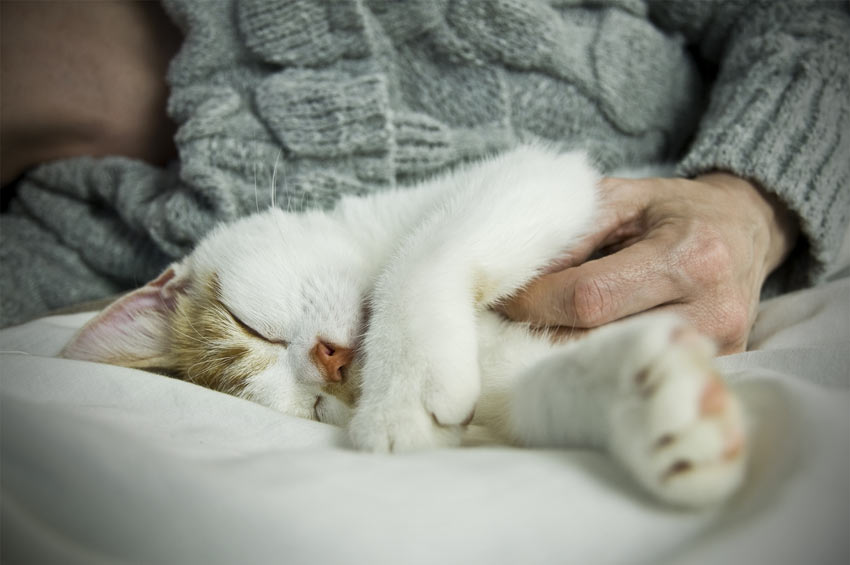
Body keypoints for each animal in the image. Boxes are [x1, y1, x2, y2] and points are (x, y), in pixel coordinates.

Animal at [63, 144, 744, 506]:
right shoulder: (502, 382)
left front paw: (402, 390)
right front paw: (655, 405)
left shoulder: (538, 174)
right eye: (315, 407)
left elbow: (423, 253)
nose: (331, 363)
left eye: (250, 326)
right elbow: (539, 389)